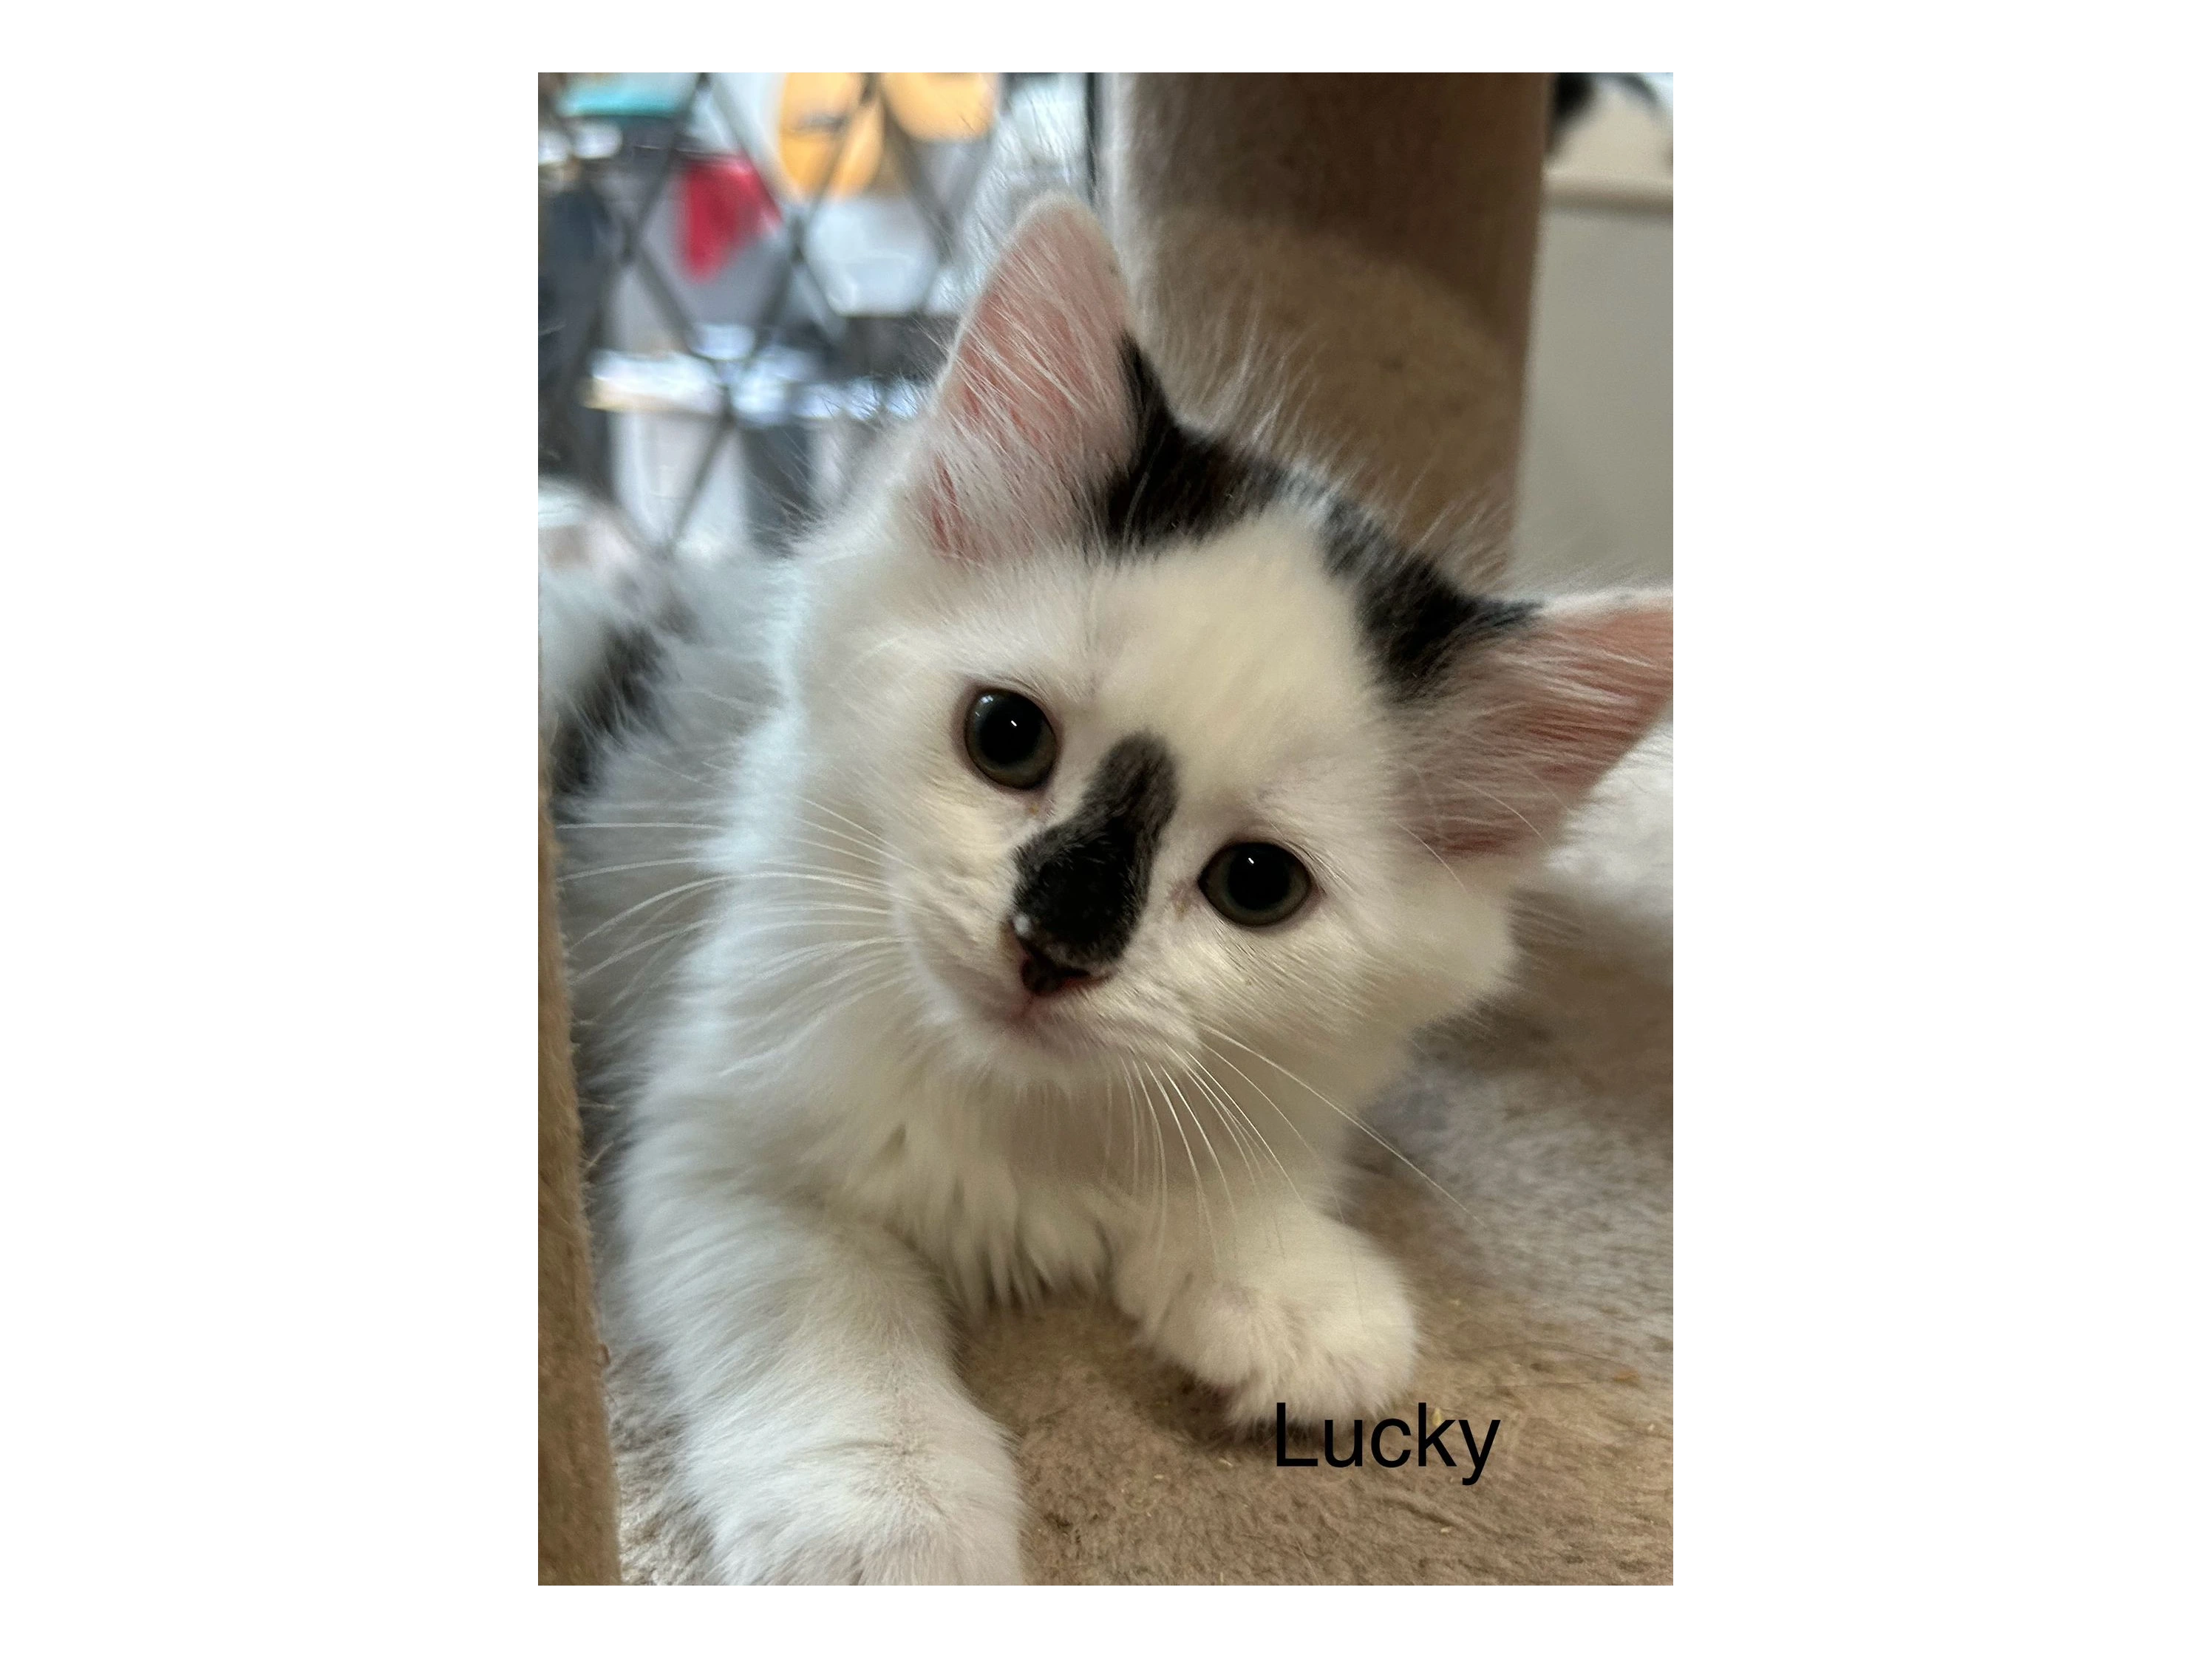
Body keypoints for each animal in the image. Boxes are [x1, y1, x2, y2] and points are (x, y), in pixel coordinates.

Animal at [548, 194, 1672, 1583]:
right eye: (1004, 736)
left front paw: (1290, 1283)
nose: (1051, 947)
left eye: (1257, 883)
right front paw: (887, 1510)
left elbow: (1235, 1163)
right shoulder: (718, 1147)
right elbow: (827, 1311)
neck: (1016, 1113)